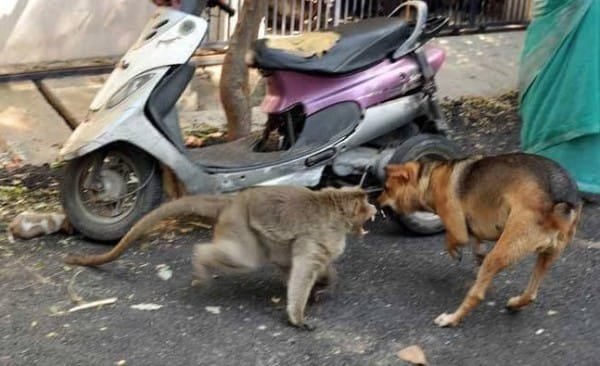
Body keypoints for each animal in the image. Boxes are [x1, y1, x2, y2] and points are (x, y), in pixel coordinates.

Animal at [65, 186, 376, 328]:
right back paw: (200, 260)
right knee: (245, 259)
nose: (374, 208)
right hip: (240, 225)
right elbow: (303, 268)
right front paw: (297, 317)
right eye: (367, 204)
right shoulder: (320, 235)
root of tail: (234, 200)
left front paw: (326, 284)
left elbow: (305, 265)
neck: (336, 209)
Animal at [380, 153, 580, 328]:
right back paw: (515, 303)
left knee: (476, 295)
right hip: (547, 256)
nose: (376, 200)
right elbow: (477, 241)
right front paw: (476, 256)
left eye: (387, 188)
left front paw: (455, 251)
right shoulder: (478, 227)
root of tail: (559, 203)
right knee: (531, 294)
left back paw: (451, 319)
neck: (429, 178)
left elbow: (451, 239)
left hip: (499, 255)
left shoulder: (457, 228)